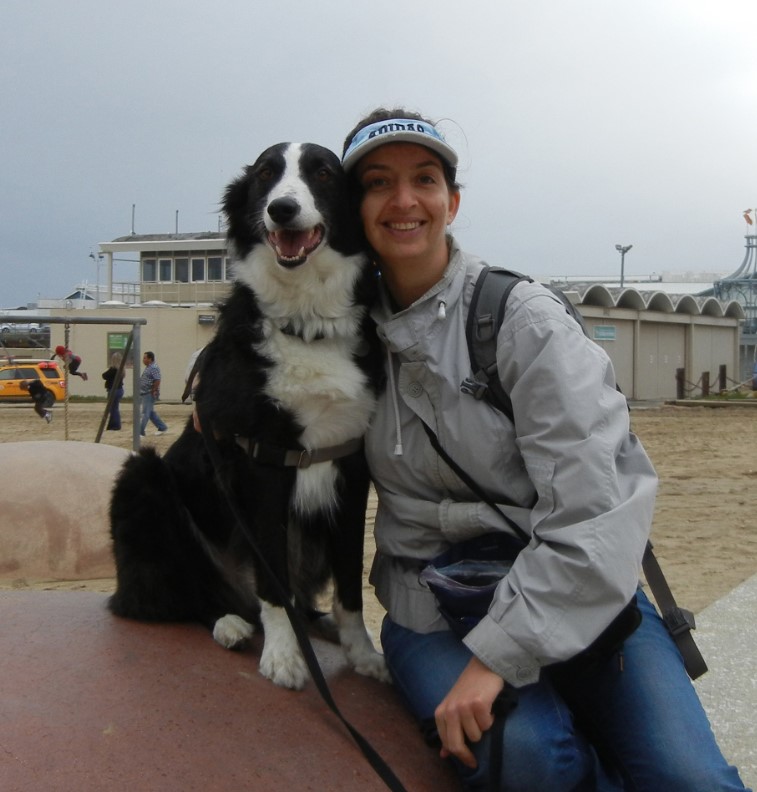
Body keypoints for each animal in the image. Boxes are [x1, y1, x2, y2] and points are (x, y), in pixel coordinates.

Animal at [109, 145, 386, 688]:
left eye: (323, 173)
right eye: (265, 175)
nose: (282, 208)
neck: (306, 322)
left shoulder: (351, 462)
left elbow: (349, 583)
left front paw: (362, 652)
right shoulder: (264, 461)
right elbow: (273, 583)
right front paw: (282, 657)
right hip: (143, 475)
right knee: (173, 593)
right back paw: (229, 623)